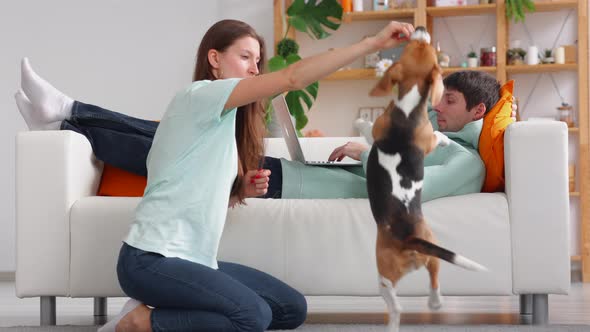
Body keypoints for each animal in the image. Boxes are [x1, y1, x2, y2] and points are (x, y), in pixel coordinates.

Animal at [368, 26, 488, 332]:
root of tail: (409, 238)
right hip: (429, 250)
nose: (420, 29)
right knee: (433, 277)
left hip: (383, 272)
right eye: (418, 45)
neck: (408, 106)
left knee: (395, 302)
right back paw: (434, 304)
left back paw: (401, 316)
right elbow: (437, 135)